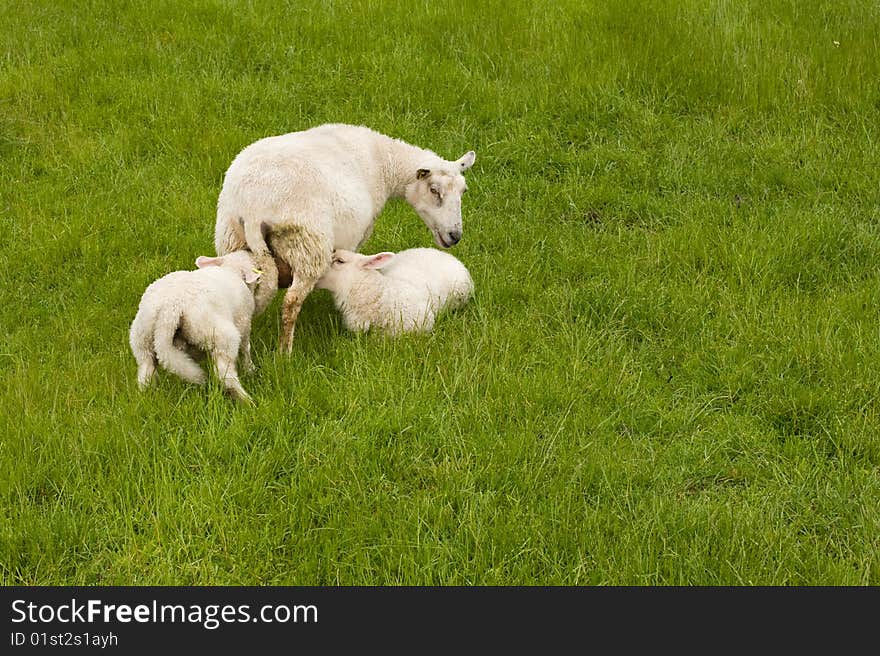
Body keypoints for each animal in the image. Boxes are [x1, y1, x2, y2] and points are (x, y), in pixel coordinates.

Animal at [129, 251, 262, 402]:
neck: (231, 269)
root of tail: (169, 306)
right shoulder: (244, 322)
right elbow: (246, 348)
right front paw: (250, 369)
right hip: (218, 333)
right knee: (225, 374)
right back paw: (246, 400)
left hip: (142, 338)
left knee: (145, 372)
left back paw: (146, 396)